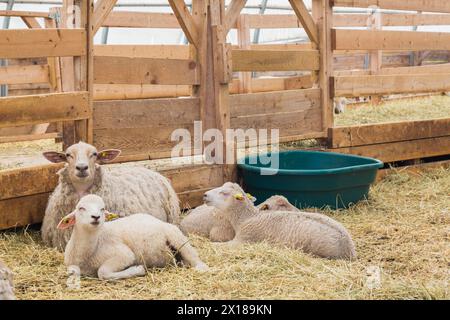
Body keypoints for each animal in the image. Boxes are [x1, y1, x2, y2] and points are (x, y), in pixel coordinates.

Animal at [59, 192, 208, 280]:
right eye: (81, 208)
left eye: (102, 209)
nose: (95, 217)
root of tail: (157, 220)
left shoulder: (124, 254)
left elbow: (103, 272)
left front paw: (138, 269)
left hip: (176, 236)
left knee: (193, 255)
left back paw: (201, 268)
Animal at [203, 182, 356, 260]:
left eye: (224, 193)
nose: (204, 195)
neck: (247, 217)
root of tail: (349, 248)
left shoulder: (243, 240)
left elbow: (217, 245)